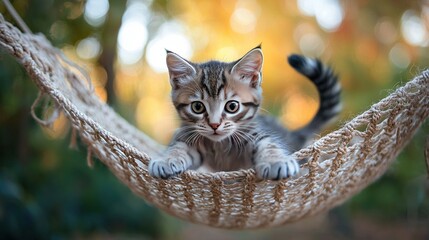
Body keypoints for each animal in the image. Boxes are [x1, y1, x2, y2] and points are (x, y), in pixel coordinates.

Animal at [149, 45, 340, 180]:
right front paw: (166, 160)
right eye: (197, 107)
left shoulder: (256, 133)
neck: (220, 145)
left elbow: (268, 144)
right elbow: (178, 148)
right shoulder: (189, 137)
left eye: (232, 106)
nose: (214, 125)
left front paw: (276, 161)